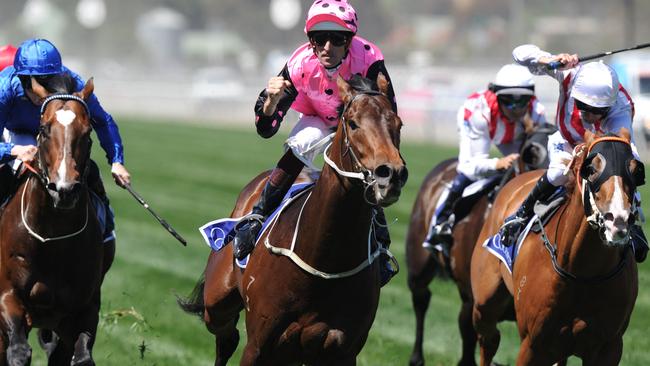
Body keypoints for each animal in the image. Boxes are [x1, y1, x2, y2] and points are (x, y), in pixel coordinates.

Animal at [0, 76, 111, 364]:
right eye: (44, 129)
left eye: (87, 132)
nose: (64, 189)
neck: (53, 239)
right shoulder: (7, 295)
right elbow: (18, 351)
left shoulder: (84, 308)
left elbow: (82, 358)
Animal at [180, 73, 404, 364]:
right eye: (353, 123)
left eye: (398, 124)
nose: (391, 174)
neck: (324, 261)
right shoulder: (258, 345)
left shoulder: (342, 350)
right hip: (216, 303)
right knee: (226, 337)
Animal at [468, 130, 640, 364]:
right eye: (591, 169)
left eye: (636, 170)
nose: (618, 221)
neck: (583, 273)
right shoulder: (533, 344)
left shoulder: (608, 347)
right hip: (485, 301)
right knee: (489, 338)